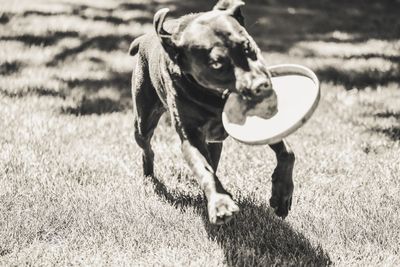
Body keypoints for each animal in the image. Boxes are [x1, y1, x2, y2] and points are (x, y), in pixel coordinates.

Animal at [130, 0, 296, 225]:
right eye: (216, 64)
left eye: (247, 46)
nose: (261, 86)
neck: (217, 98)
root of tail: (144, 38)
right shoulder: (190, 136)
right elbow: (204, 168)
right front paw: (220, 203)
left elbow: (287, 153)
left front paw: (281, 196)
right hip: (143, 120)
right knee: (147, 148)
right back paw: (149, 175)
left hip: (213, 141)